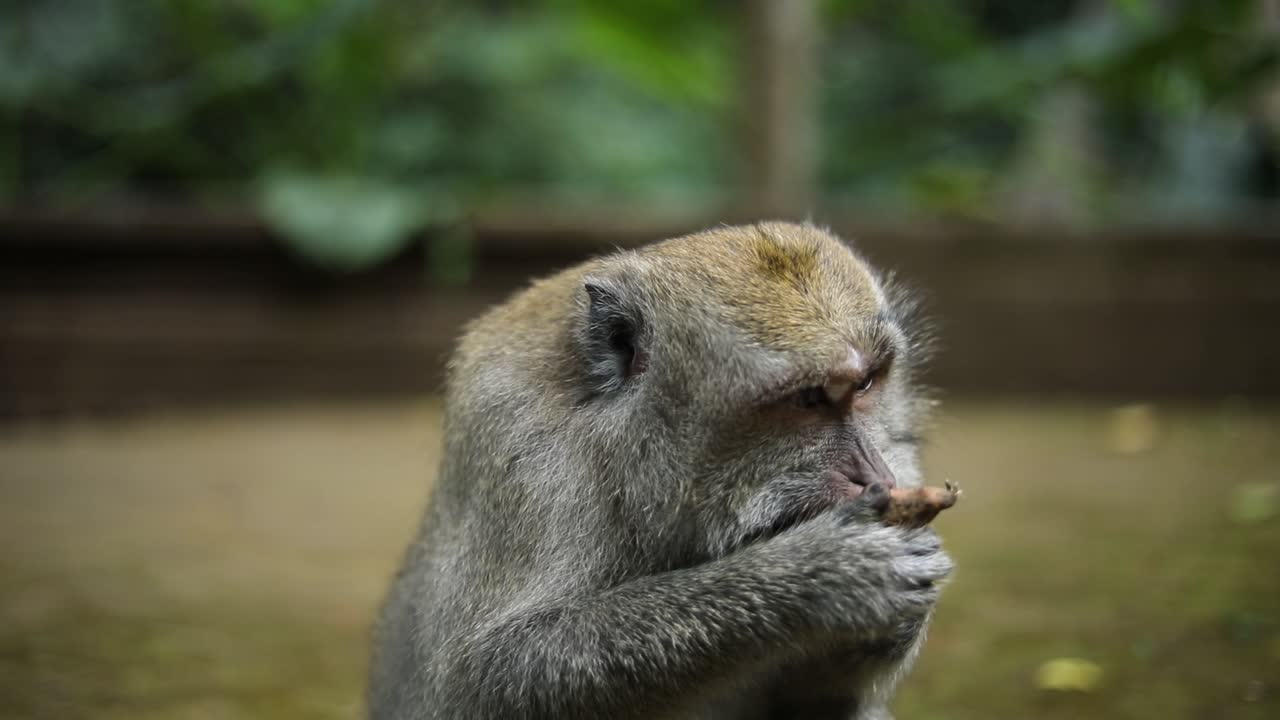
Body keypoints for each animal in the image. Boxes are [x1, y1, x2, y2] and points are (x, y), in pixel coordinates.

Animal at [368, 221, 953, 720]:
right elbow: (489, 677)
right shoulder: (527, 458)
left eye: (867, 383)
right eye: (809, 399)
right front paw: (819, 574)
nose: (874, 476)